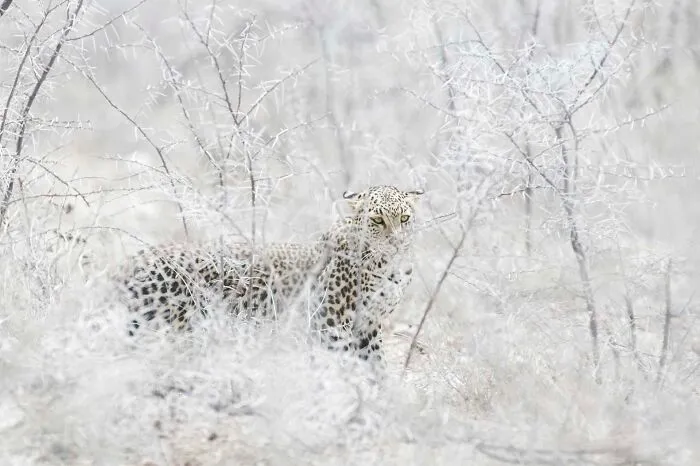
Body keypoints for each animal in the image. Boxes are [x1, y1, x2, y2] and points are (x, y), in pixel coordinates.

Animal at [116, 185, 423, 364]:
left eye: (404, 218)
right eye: (378, 220)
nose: (397, 242)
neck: (390, 266)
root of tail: (127, 264)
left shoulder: (369, 325)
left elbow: (377, 364)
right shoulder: (332, 321)